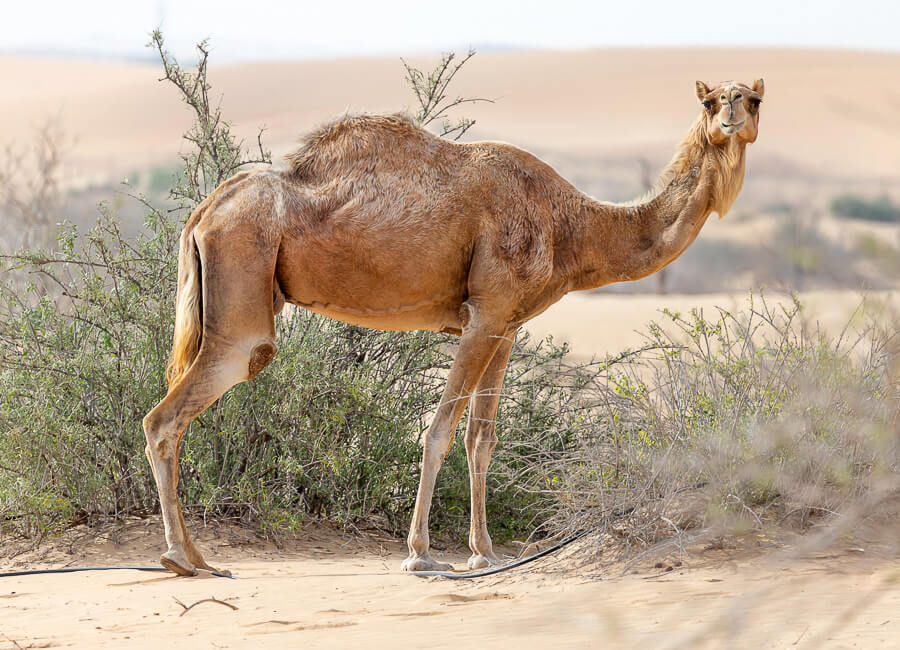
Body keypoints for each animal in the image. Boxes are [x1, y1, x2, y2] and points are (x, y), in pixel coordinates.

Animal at [142, 78, 764, 575]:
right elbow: (439, 431)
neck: (571, 226)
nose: (731, 116)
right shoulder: (484, 315)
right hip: (242, 292)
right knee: (171, 411)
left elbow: (481, 438)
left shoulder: (507, 325)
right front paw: (420, 553)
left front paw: (483, 553)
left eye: (754, 97)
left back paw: (192, 556)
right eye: (710, 99)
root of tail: (205, 211)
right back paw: (183, 558)